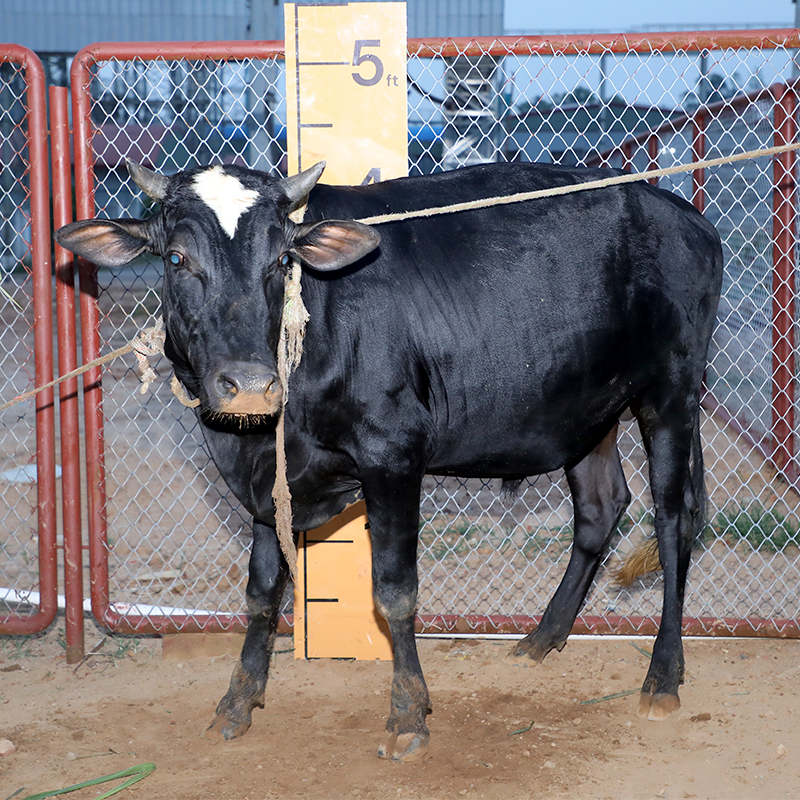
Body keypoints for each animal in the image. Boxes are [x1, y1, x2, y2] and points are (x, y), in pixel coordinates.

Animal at [55, 158, 723, 762]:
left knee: (673, 519)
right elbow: (261, 591)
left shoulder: (393, 454)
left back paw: (662, 675)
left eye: (281, 260)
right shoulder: (268, 480)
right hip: (588, 408)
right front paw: (237, 703)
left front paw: (407, 715)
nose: (248, 385)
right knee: (601, 506)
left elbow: (395, 591)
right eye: (175, 259)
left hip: (671, 391)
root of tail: (681, 213)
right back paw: (541, 637)